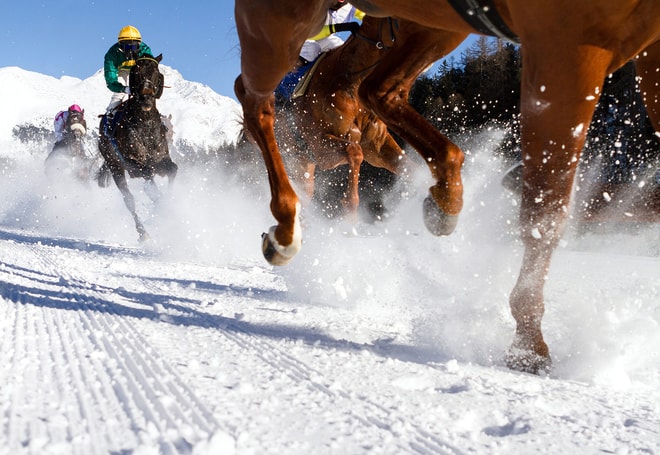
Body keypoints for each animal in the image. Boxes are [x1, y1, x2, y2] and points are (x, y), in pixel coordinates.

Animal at [97, 55, 178, 242]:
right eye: (135, 72)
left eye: (156, 72)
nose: (146, 97)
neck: (145, 124)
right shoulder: (133, 164)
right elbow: (148, 177)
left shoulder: (161, 159)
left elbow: (173, 169)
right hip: (115, 166)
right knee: (129, 200)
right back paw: (143, 233)